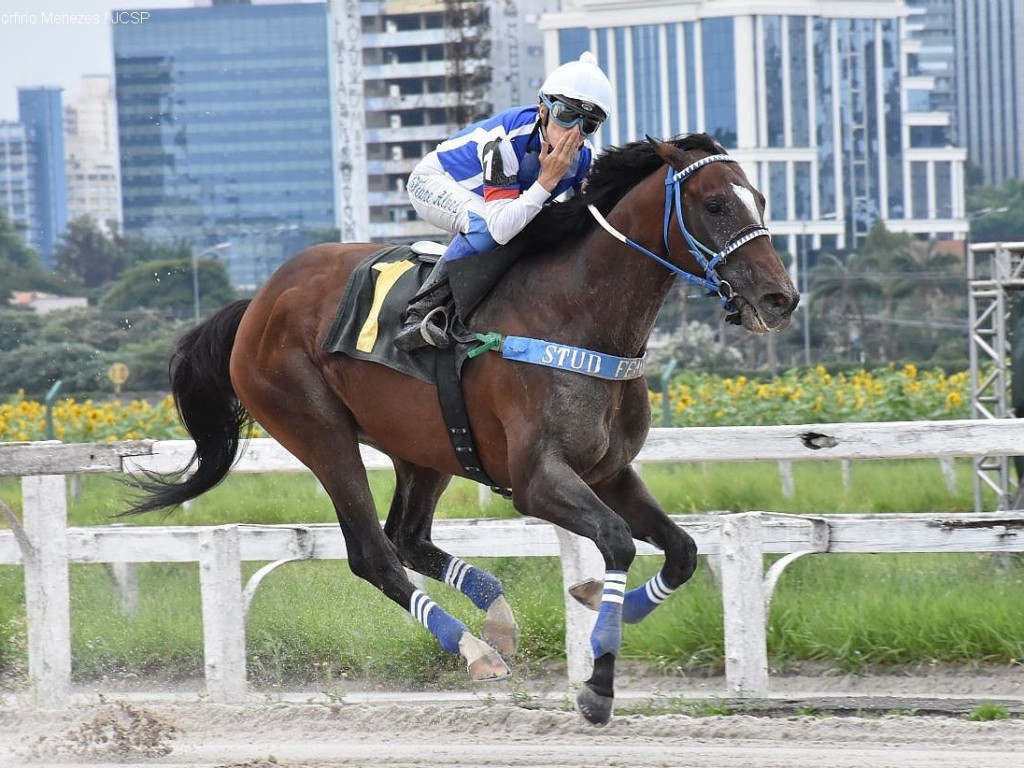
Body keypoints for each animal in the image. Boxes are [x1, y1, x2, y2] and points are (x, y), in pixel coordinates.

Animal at [128, 135, 798, 724]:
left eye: (762, 199)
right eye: (715, 205)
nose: (779, 298)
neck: (577, 314)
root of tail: (256, 304)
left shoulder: (609, 471)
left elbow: (681, 552)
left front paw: (593, 602)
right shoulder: (537, 480)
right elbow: (616, 540)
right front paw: (597, 687)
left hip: (425, 448)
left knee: (408, 538)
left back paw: (495, 619)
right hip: (319, 433)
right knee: (374, 554)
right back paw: (475, 650)